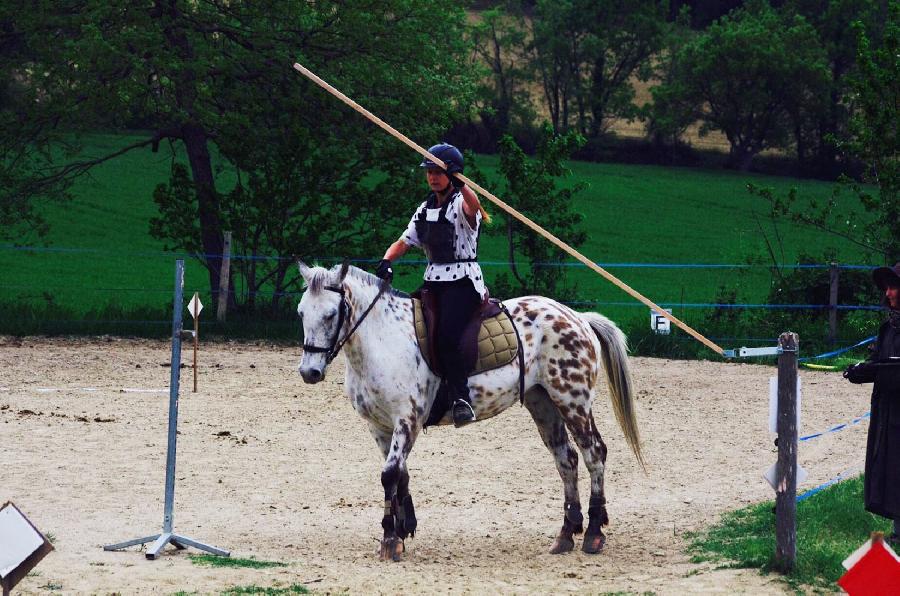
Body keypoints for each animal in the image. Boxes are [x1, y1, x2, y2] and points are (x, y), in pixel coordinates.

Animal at [298, 260, 644, 560]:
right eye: (301, 312)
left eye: (331, 314)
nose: (309, 372)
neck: (383, 340)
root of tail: (577, 317)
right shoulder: (380, 426)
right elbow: (399, 475)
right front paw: (404, 527)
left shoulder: (406, 421)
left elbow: (390, 475)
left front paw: (390, 539)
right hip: (543, 403)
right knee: (566, 459)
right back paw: (566, 534)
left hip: (573, 401)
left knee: (593, 453)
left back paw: (594, 533)